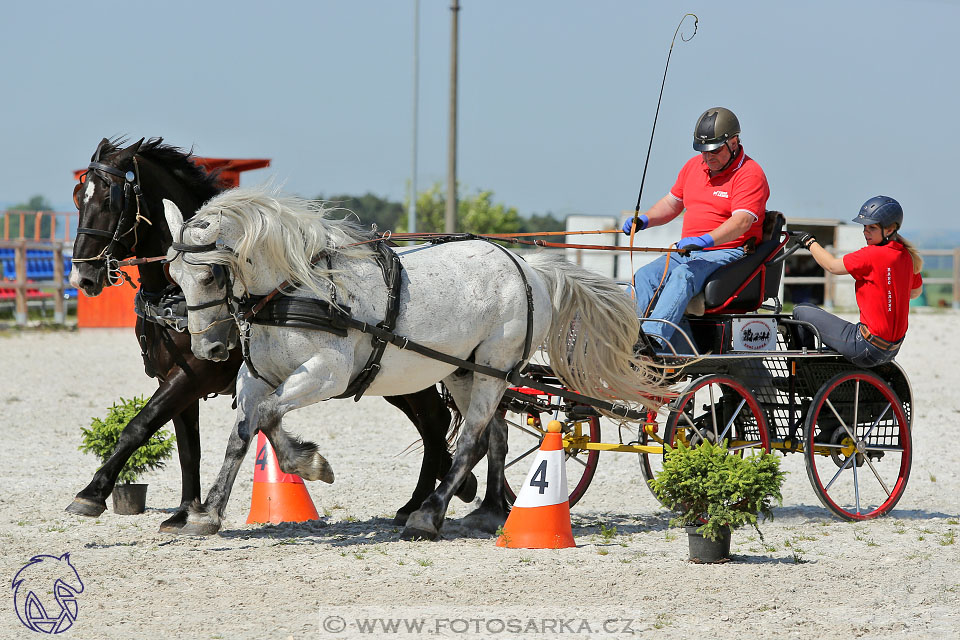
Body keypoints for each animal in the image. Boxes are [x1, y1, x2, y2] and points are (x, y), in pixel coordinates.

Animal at [63, 136, 476, 528]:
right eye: (79, 197)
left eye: (110, 198)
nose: (83, 276)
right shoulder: (177, 377)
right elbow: (187, 447)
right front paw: (184, 511)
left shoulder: (193, 376)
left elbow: (140, 426)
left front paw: (91, 494)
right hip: (393, 377)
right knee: (433, 425)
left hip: (409, 373)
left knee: (435, 423)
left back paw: (424, 502)